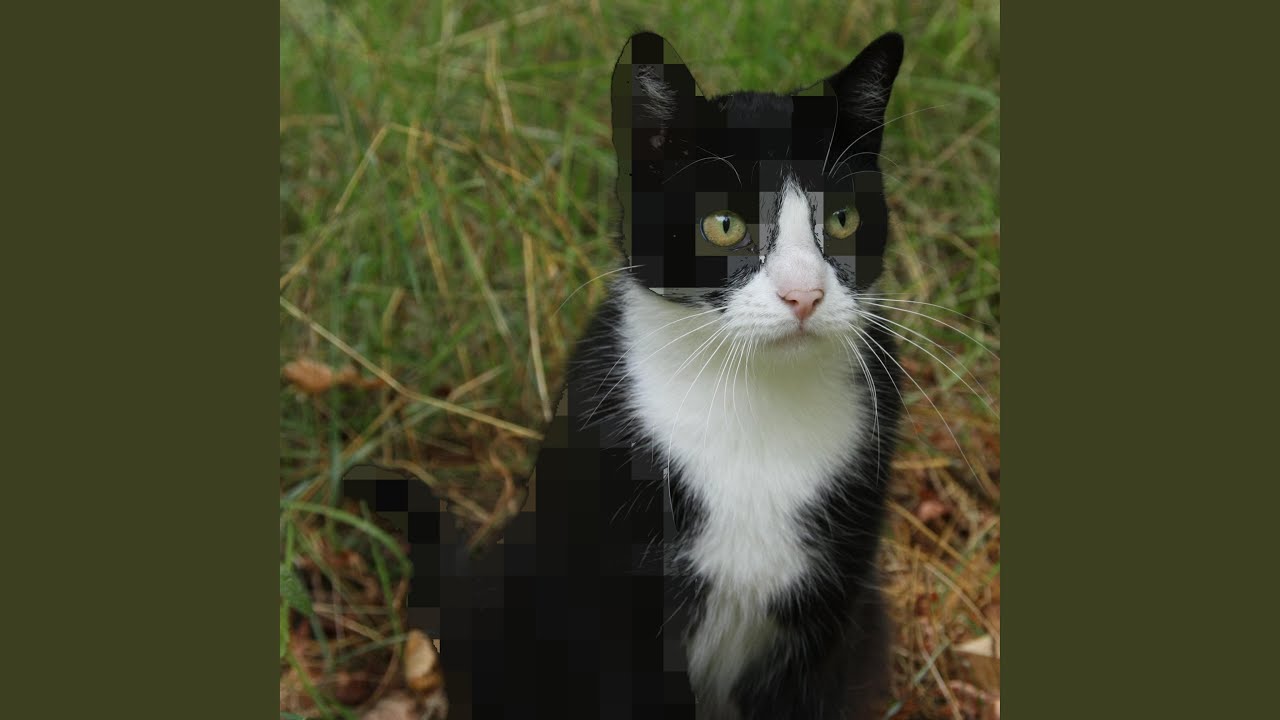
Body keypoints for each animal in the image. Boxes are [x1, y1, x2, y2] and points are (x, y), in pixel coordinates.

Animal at [348, 29, 907, 720]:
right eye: (724, 225)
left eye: (843, 221)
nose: (804, 295)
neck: (754, 401)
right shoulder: (616, 611)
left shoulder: (830, 615)